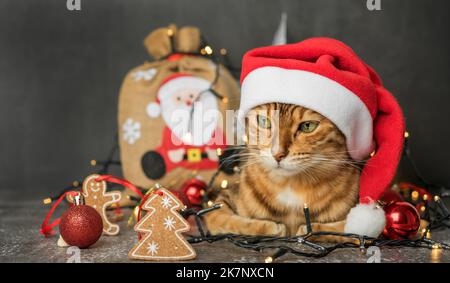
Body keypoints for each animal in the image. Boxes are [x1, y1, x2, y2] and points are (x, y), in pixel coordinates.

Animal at [205, 103, 362, 241]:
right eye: (264, 121)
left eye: (308, 126)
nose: (277, 154)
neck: (291, 185)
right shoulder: (227, 196)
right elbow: (216, 217)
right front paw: (270, 227)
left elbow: (349, 229)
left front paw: (309, 230)